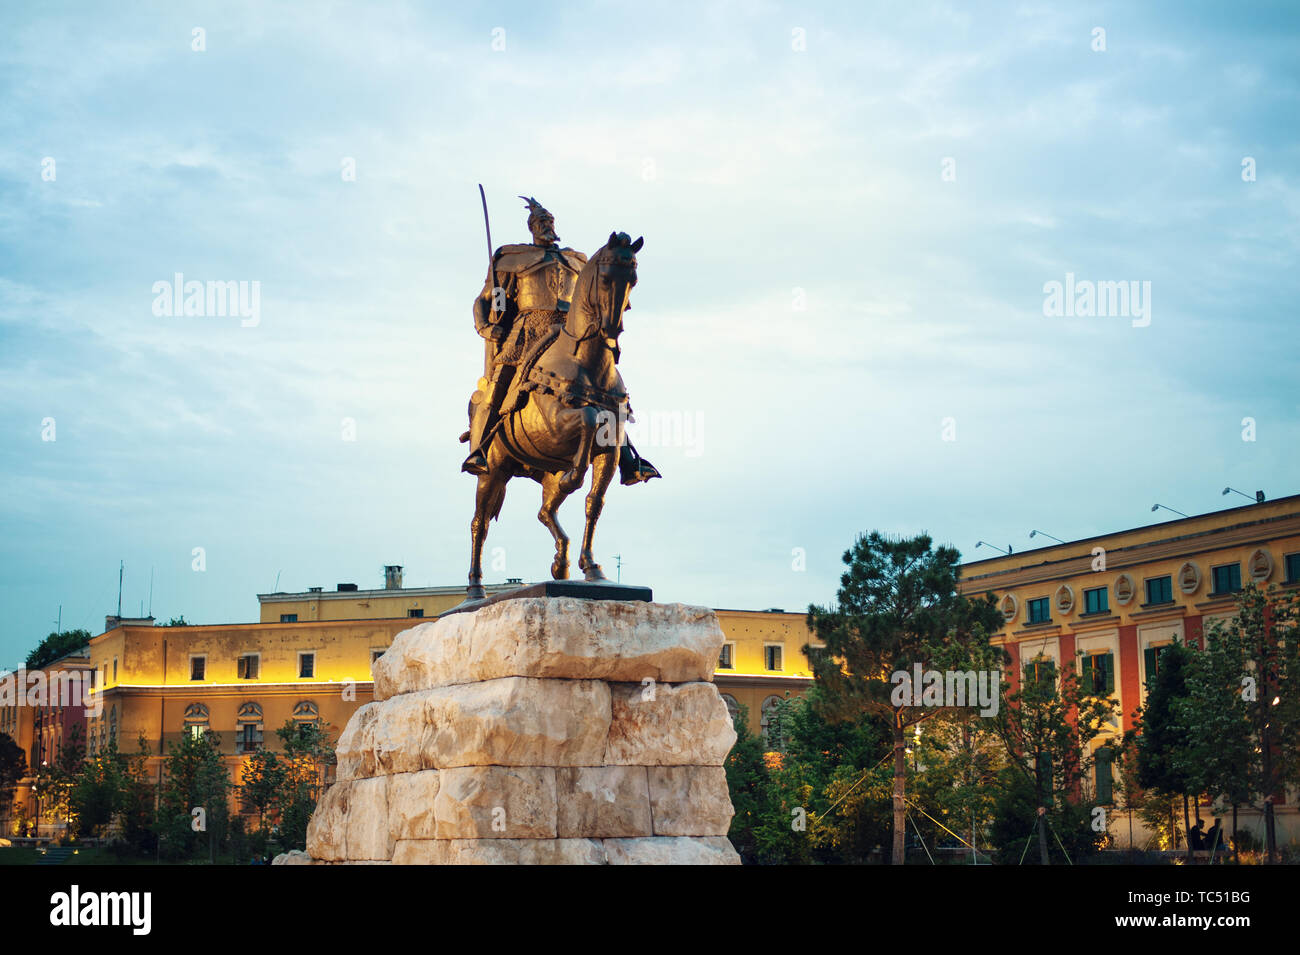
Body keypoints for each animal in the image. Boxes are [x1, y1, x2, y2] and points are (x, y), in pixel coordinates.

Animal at [465, 231, 650, 600]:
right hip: (492, 471)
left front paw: (591, 567)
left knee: (545, 511)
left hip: (541, 474)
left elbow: (594, 502)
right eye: (606, 278)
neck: (587, 365)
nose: (612, 331)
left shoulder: (609, 452)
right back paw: (476, 589)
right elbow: (589, 420)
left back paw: (560, 564)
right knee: (480, 523)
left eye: (633, 279)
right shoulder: (557, 423)